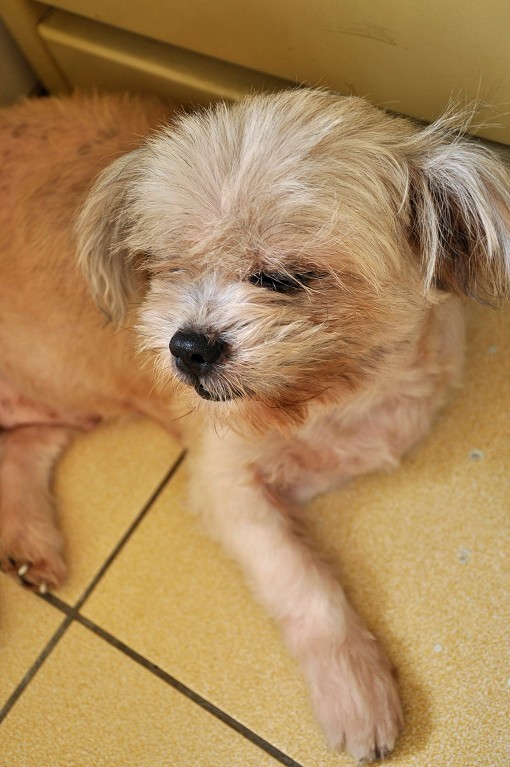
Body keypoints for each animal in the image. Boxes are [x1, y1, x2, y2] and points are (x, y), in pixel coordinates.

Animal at [1, 88, 509, 763]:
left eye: (285, 277)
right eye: (168, 267)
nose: (187, 346)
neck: (336, 396)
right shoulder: (226, 486)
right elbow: (304, 582)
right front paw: (354, 685)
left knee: (23, 444)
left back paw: (28, 538)